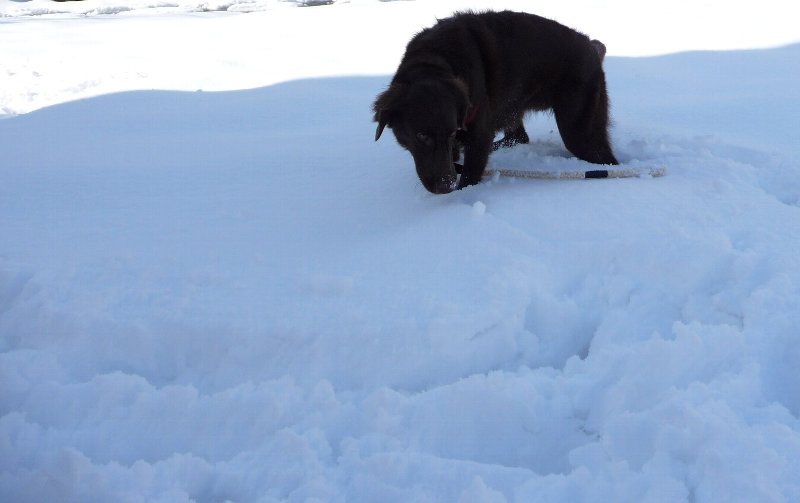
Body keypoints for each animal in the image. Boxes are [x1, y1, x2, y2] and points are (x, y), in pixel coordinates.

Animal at [373, 10, 618, 194]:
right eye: (421, 136)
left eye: (451, 133)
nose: (446, 186)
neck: (434, 60)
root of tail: (591, 46)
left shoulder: (478, 136)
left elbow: (470, 176)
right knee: (519, 137)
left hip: (580, 132)